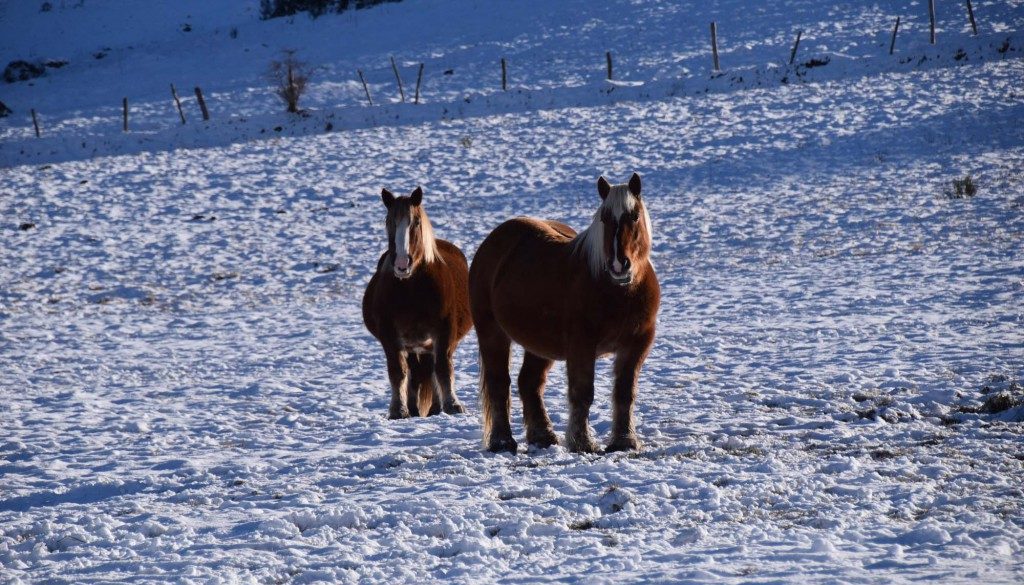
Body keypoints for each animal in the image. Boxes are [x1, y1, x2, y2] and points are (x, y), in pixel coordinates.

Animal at [360, 187, 471, 422]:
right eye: (389, 222)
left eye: (416, 222)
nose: (402, 264)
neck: (411, 289)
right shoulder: (390, 336)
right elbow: (398, 372)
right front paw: (398, 410)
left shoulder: (444, 332)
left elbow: (443, 369)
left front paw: (453, 405)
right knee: (415, 373)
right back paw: (413, 408)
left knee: (432, 370)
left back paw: (436, 407)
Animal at [468, 172, 659, 454]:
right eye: (605, 218)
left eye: (634, 216)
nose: (618, 264)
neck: (618, 291)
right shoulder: (581, 345)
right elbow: (583, 392)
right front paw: (582, 442)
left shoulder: (636, 344)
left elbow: (625, 393)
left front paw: (623, 441)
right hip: (492, 333)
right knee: (499, 384)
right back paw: (502, 442)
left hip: (538, 344)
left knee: (529, 382)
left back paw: (542, 436)